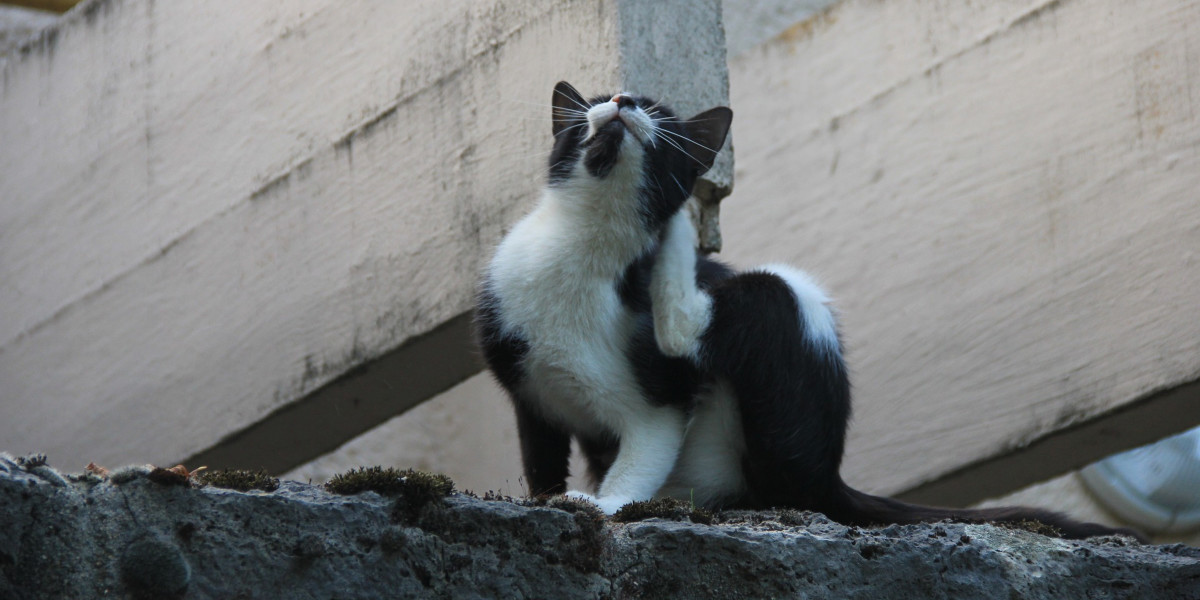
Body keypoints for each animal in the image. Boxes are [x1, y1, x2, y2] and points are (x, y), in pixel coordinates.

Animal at [477, 81, 1142, 540]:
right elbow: (541, 456)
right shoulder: (527, 386)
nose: (618, 101)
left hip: (785, 315)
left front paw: (603, 504)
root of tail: (831, 477)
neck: (586, 247)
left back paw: (679, 237)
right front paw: (548, 497)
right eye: (592, 103)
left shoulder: (658, 404)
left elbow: (641, 454)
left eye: (657, 111)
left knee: (727, 323)